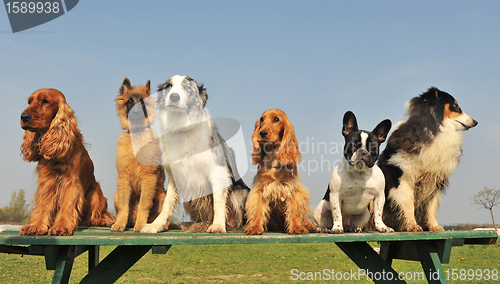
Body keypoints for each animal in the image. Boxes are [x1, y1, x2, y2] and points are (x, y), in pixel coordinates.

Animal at [20, 89, 114, 235]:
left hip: (96, 191)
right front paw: (35, 226)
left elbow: (67, 205)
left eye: (45, 101)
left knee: (97, 215)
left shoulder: (71, 182)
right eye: (29, 102)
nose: (23, 116)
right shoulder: (46, 182)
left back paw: (103, 221)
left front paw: (61, 227)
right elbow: (42, 205)